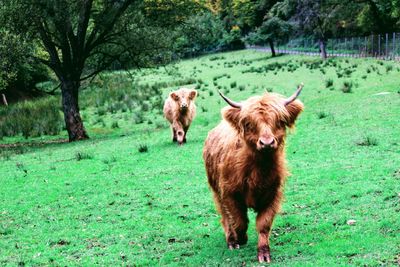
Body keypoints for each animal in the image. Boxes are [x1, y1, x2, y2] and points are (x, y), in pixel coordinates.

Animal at [203, 84, 304, 264]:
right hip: (216, 191)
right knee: (225, 216)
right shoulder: (229, 194)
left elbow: (263, 224)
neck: (259, 170)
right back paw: (231, 240)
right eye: (249, 123)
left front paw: (264, 252)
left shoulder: (273, 195)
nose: (267, 143)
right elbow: (239, 221)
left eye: (280, 121)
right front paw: (240, 239)